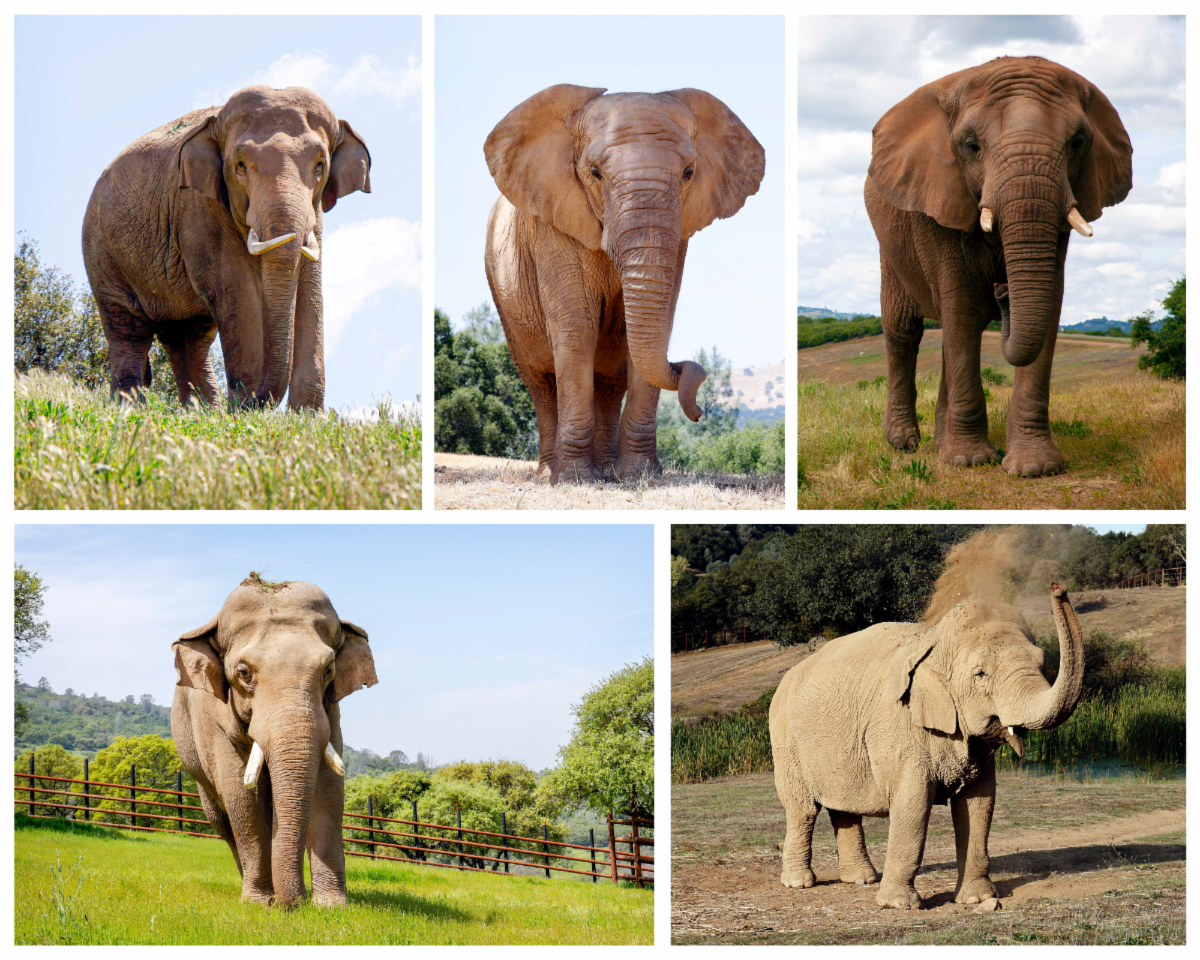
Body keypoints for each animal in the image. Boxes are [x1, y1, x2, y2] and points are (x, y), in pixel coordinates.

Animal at [83, 85, 371, 409]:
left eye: (320, 166)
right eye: (240, 166)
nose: (257, 401)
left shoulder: (315, 214)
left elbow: (310, 290)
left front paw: (306, 416)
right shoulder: (199, 210)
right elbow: (237, 291)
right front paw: (246, 410)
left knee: (187, 337)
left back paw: (202, 411)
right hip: (101, 253)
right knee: (127, 328)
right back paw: (131, 407)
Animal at [170, 577, 378, 907]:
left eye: (328, 670)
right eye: (243, 673)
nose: (292, 904)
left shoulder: (331, 713)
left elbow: (329, 789)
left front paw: (330, 906)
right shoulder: (213, 719)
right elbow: (242, 796)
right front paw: (259, 904)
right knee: (223, 820)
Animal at [483, 84, 765, 483]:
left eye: (688, 173)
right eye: (595, 173)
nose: (699, 413)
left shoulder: (679, 231)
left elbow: (650, 328)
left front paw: (638, 476)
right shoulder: (554, 222)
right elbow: (577, 331)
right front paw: (575, 479)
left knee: (610, 384)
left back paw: (607, 472)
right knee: (541, 383)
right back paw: (550, 475)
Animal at [769, 584, 1083, 910]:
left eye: (1042, 662)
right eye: (980, 673)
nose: (1058, 588)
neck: (934, 640)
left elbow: (980, 804)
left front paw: (976, 899)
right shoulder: (899, 728)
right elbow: (913, 804)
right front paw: (900, 905)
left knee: (843, 807)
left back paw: (861, 879)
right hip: (785, 742)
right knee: (802, 809)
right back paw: (799, 883)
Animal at [864, 57, 1132, 476]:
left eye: (1077, 142)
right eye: (971, 146)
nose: (1002, 291)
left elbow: (1047, 302)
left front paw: (1035, 468)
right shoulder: (936, 198)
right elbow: (959, 302)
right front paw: (970, 461)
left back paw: (939, 444)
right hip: (890, 245)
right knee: (906, 327)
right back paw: (905, 444)